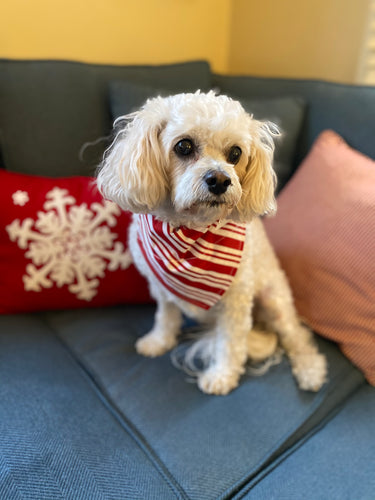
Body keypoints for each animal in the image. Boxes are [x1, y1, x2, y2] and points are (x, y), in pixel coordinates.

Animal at [97, 90, 328, 394]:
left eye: (235, 153)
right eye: (184, 146)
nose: (219, 179)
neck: (189, 231)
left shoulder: (236, 302)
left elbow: (230, 344)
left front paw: (222, 376)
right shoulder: (160, 285)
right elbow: (166, 317)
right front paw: (159, 341)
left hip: (274, 301)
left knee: (296, 335)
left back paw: (310, 370)